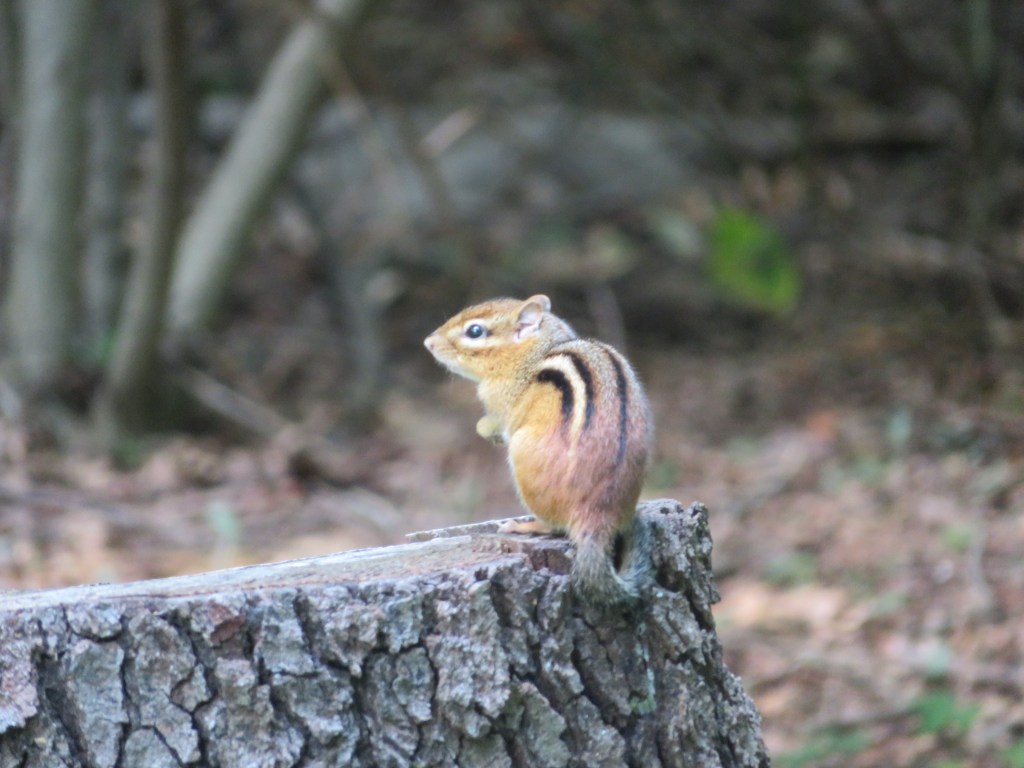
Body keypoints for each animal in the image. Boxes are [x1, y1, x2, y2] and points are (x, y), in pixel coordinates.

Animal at [424, 294, 653, 606]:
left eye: (475, 331)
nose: (428, 342)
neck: (535, 352)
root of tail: (596, 519)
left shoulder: (503, 405)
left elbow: (497, 422)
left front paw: (486, 430)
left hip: (524, 461)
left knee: (555, 526)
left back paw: (523, 526)